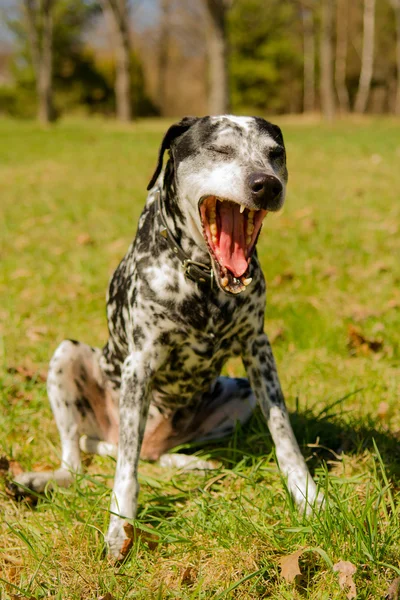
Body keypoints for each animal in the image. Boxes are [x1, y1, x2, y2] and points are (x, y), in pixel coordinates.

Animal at [10, 116, 318, 556]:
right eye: (220, 149)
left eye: (276, 154)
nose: (267, 185)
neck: (203, 278)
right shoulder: (140, 363)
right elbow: (125, 472)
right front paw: (120, 528)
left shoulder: (258, 350)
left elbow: (285, 437)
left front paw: (309, 498)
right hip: (66, 359)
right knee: (84, 458)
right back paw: (42, 479)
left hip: (239, 394)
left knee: (155, 454)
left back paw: (191, 463)